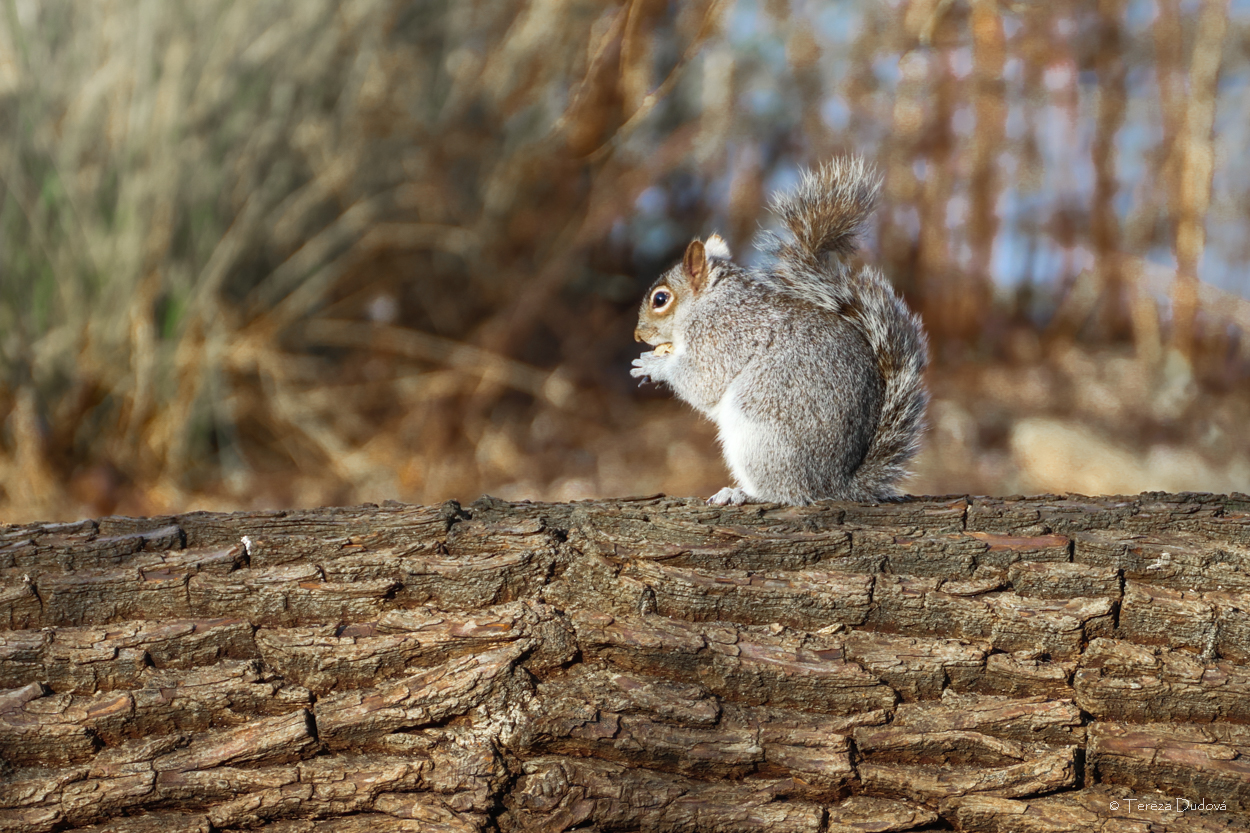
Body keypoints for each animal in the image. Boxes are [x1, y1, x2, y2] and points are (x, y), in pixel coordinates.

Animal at [630, 157, 929, 506]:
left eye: (660, 299)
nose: (638, 336)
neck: (709, 300)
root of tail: (833, 486)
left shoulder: (721, 334)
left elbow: (704, 380)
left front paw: (654, 365)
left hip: (758, 432)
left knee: (784, 493)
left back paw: (741, 493)